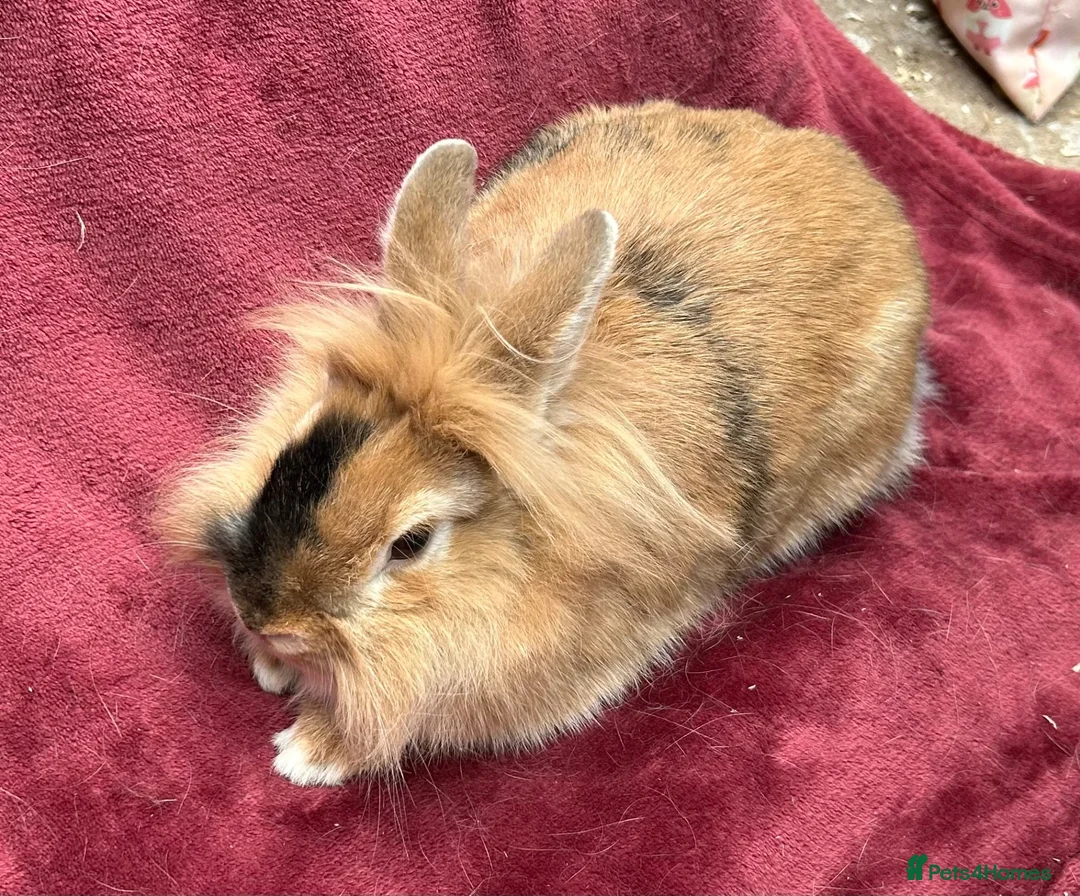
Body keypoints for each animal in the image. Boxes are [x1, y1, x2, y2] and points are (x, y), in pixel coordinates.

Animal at [159, 101, 931, 786]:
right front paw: (271, 666)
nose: (266, 618)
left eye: (411, 544)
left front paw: (307, 751)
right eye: (290, 444)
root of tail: (870, 191)